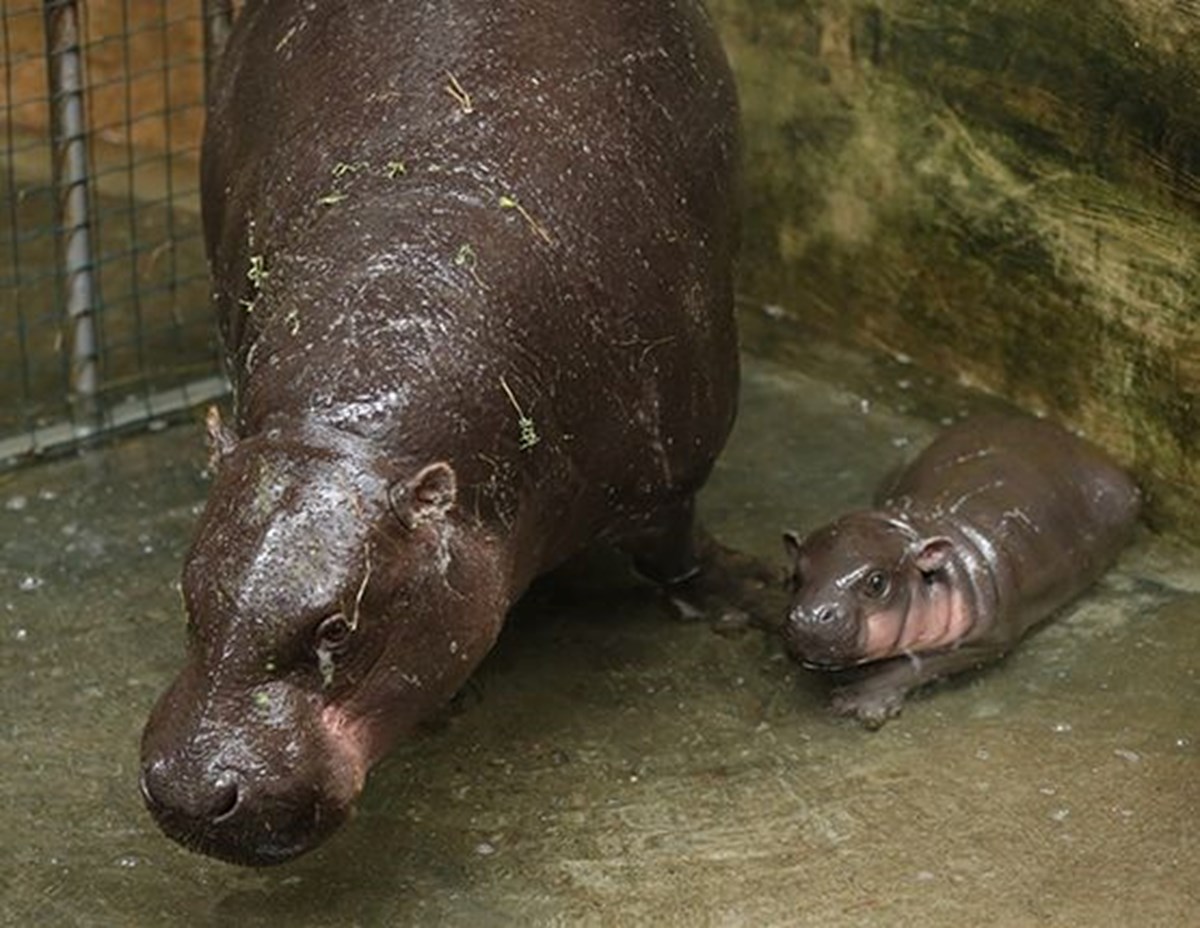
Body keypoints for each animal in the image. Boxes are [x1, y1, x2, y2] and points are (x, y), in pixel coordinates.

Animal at [140, 0, 739, 864]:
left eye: (338, 626)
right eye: (189, 594)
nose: (192, 792)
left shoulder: (673, 466)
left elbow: (676, 550)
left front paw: (731, 603)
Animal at [782, 412, 1137, 725]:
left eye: (876, 582)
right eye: (796, 575)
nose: (811, 616)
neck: (913, 532)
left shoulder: (987, 639)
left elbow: (919, 664)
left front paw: (861, 701)